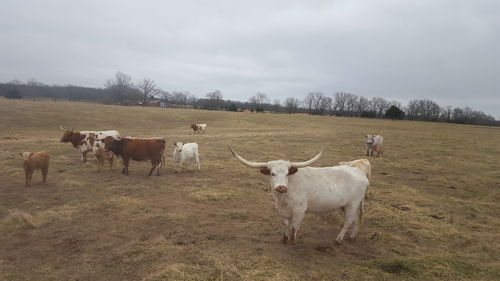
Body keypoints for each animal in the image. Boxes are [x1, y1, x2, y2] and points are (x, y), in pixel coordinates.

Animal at [229, 145, 368, 244]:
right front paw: (284, 239)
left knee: (349, 220)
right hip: (351, 205)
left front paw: (292, 240)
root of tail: (360, 173)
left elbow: (294, 226)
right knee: (356, 219)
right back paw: (352, 237)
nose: (281, 187)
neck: (284, 198)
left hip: (352, 204)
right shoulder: (283, 210)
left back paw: (338, 239)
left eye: (287, 173)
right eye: (272, 173)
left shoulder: (299, 210)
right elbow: (286, 224)